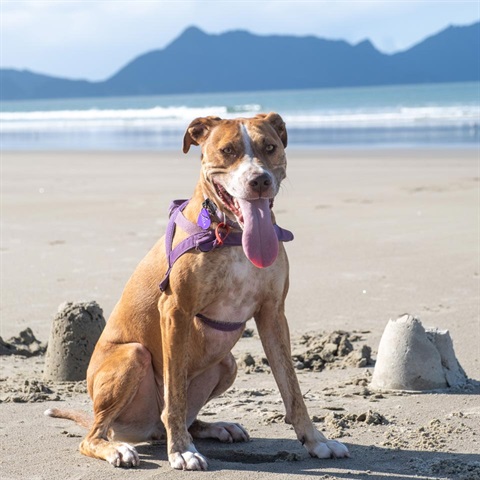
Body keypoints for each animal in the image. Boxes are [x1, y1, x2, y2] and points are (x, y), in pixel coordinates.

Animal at [46, 111, 348, 468]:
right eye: (228, 151)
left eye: (270, 147)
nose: (259, 180)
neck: (232, 234)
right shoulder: (176, 313)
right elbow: (174, 394)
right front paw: (181, 450)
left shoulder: (273, 313)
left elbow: (292, 387)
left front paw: (316, 440)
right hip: (132, 358)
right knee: (95, 435)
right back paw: (118, 448)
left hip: (228, 364)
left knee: (181, 416)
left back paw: (214, 427)